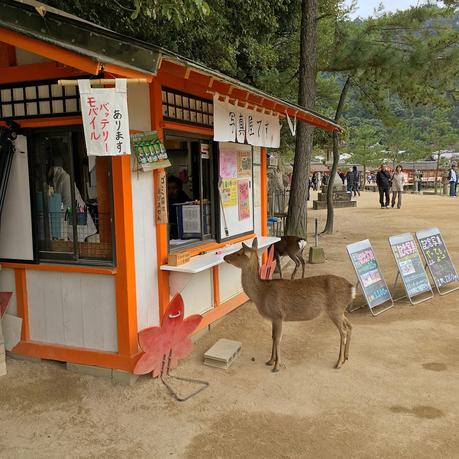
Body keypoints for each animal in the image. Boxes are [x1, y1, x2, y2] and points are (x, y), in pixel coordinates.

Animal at [225, 239, 354, 372]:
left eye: (239, 253)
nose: (225, 257)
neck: (261, 294)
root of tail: (352, 289)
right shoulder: (273, 318)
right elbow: (273, 337)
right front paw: (270, 361)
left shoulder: (278, 315)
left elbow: (278, 339)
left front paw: (277, 366)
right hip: (339, 311)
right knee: (350, 326)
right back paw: (346, 358)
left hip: (335, 310)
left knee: (343, 332)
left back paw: (338, 363)